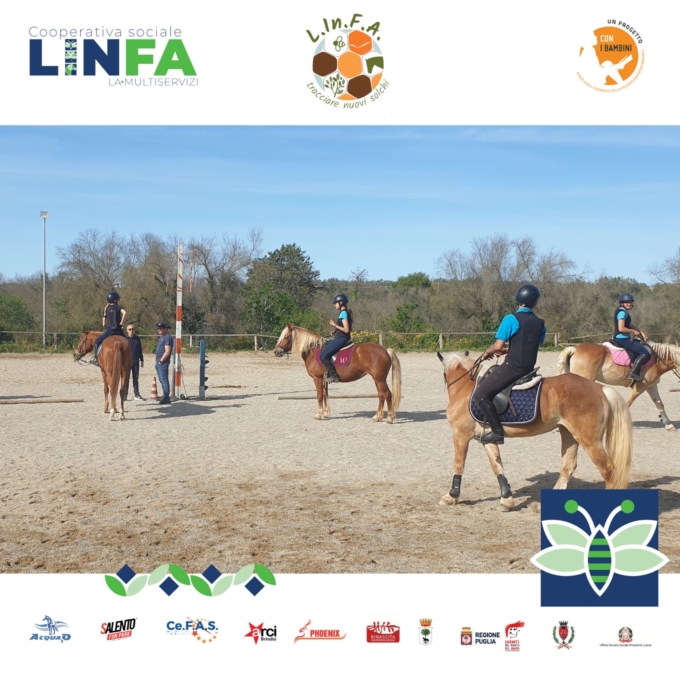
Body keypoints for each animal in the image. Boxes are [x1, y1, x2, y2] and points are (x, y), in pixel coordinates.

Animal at [274, 324, 402, 422]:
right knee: (381, 395)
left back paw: (390, 418)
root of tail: (385, 350)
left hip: (380, 380)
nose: (276, 351)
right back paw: (378, 416)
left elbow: (319, 396)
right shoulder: (324, 380)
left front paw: (319, 414)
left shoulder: (317, 379)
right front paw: (326, 413)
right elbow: (325, 395)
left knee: (387, 394)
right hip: (377, 379)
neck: (313, 350)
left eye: (286, 337)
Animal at [437, 352, 632, 511]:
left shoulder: (461, 435)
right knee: (568, 467)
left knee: (608, 471)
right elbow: (497, 466)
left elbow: (459, 464)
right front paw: (506, 499)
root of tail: (599, 388)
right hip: (569, 434)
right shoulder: (486, 438)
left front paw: (451, 496)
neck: (465, 387)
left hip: (589, 440)